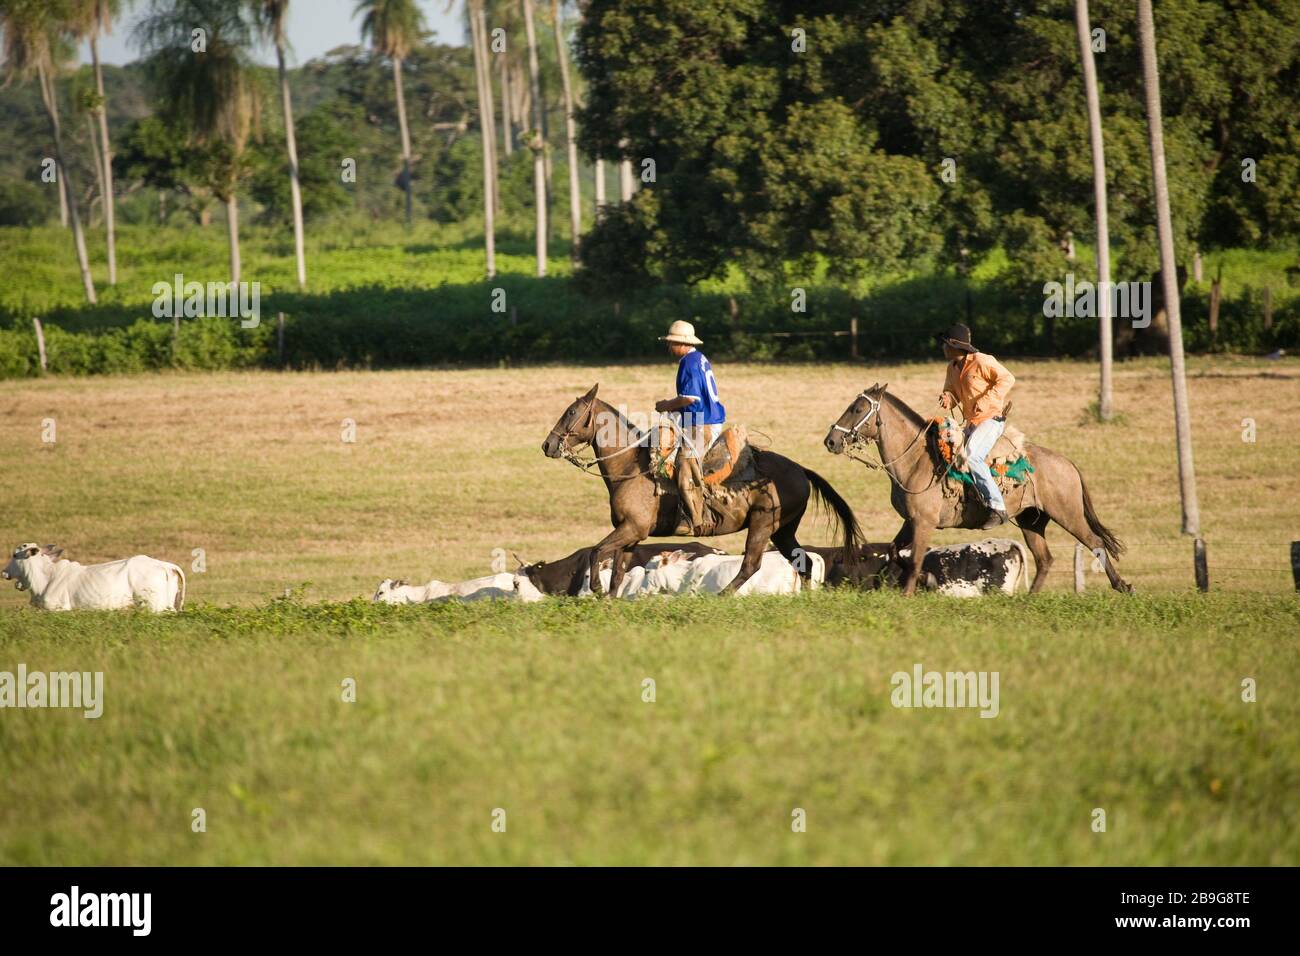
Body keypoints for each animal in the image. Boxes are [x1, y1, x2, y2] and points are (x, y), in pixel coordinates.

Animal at [546, 385, 863, 595]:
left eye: (571, 412)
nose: (547, 445)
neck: (633, 468)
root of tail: (800, 470)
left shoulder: (632, 529)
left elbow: (597, 551)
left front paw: (596, 589)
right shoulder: (631, 535)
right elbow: (617, 571)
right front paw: (609, 599)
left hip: (763, 524)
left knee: (751, 564)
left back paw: (721, 597)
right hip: (783, 530)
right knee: (803, 562)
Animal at [826, 382, 1133, 595]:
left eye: (857, 409)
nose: (830, 441)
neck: (916, 461)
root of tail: (1066, 462)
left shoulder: (924, 523)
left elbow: (913, 560)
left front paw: (908, 593)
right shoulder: (910, 521)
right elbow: (893, 552)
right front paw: (926, 580)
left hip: (1068, 514)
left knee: (1095, 543)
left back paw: (1123, 586)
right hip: (1031, 520)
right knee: (1045, 559)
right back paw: (1029, 598)